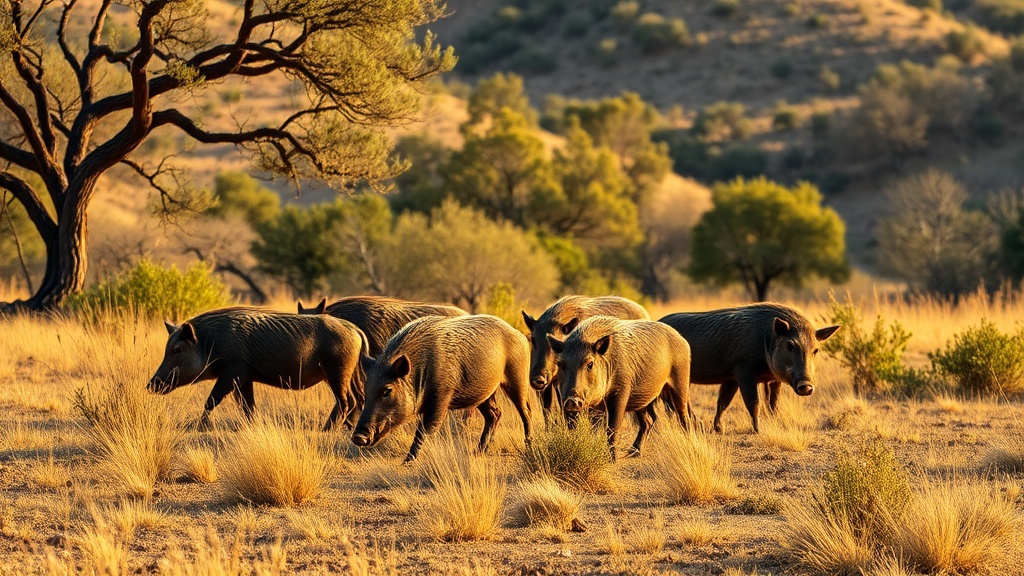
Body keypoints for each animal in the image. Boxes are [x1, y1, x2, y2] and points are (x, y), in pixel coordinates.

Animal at [147, 307, 369, 431]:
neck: (209, 343)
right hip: (347, 375)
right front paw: (252, 425)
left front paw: (200, 426)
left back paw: (327, 429)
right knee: (356, 399)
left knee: (346, 402)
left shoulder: (232, 373)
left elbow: (211, 400)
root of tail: (357, 331)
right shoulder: (245, 378)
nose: (150, 385)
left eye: (177, 349)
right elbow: (248, 406)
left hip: (337, 373)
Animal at [351, 314, 533, 463]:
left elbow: (424, 429)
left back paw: (528, 445)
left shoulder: (442, 396)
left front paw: (407, 461)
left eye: (387, 391)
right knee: (495, 414)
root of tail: (519, 334)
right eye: (366, 391)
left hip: (518, 378)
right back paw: (477, 452)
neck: (418, 372)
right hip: (484, 393)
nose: (357, 437)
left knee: (526, 411)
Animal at [547, 316, 692, 460]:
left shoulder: (621, 392)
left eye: (590, 364)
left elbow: (612, 428)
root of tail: (682, 339)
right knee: (649, 421)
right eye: (560, 364)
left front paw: (612, 460)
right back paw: (634, 452)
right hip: (641, 400)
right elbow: (594, 429)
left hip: (680, 383)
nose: (571, 400)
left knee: (683, 416)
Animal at [658, 303, 840, 433]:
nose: (806, 387)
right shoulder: (744, 370)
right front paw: (759, 430)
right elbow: (753, 402)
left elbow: (729, 403)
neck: (766, 340)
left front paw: (719, 429)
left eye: (816, 350)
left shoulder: (737, 378)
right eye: (790, 345)